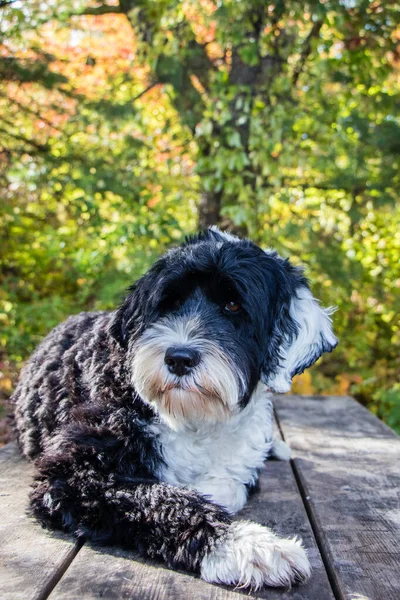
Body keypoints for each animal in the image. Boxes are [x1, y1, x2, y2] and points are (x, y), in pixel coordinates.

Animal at [13, 229, 338, 592]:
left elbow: (227, 486)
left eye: (233, 305)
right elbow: (162, 498)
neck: (195, 421)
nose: (179, 358)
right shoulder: (72, 472)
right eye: (169, 303)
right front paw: (250, 545)